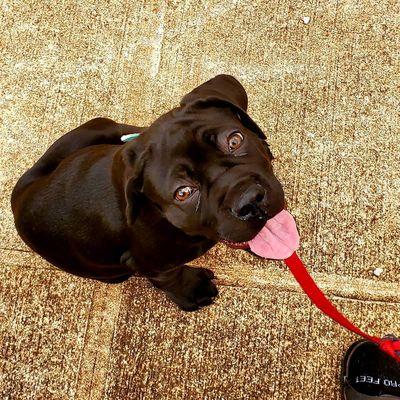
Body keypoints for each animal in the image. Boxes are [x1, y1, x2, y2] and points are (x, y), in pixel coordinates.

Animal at [11, 76, 284, 312]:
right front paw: (194, 290)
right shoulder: (148, 264)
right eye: (183, 193)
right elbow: (170, 278)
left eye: (235, 141)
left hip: (97, 127)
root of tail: (20, 191)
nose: (250, 200)